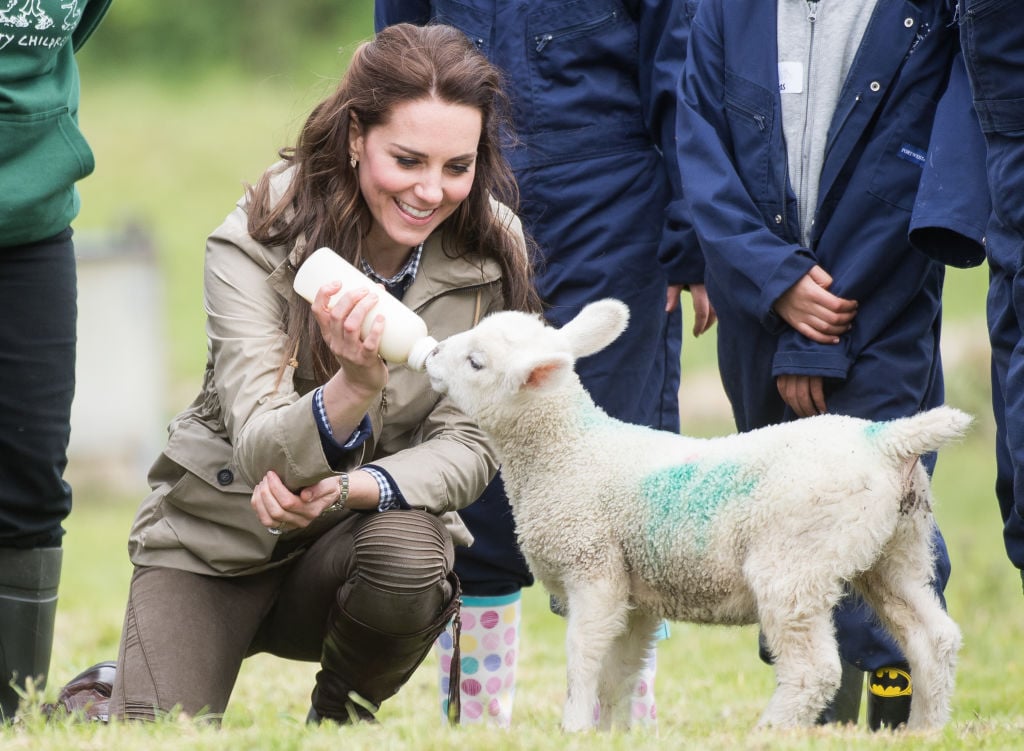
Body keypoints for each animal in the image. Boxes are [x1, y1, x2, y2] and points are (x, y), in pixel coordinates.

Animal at [423, 298, 967, 733]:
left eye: (475, 362)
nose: (430, 354)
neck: (569, 452)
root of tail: (886, 440)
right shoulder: (634, 591)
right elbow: (619, 673)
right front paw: (613, 733)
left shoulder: (594, 568)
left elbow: (584, 659)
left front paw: (574, 728)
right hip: (895, 548)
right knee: (932, 638)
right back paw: (923, 731)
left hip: (795, 562)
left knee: (815, 669)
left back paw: (767, 732)